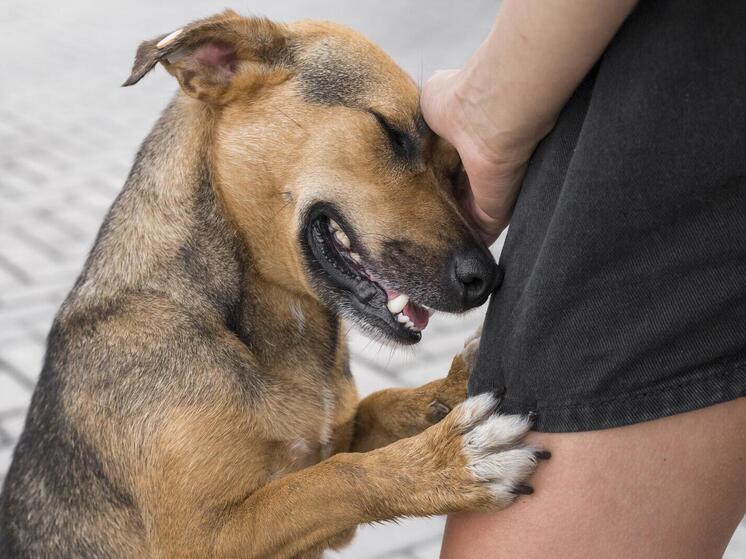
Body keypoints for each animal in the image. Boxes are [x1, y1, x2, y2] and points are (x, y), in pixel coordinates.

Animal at [0, 10, 548, 556]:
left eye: (456, 169)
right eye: (392, 132)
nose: (487, 278)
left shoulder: (334, 435)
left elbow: (378, 407)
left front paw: (451, 387)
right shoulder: (204, 538)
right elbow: (335, 478)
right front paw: (444, 463)